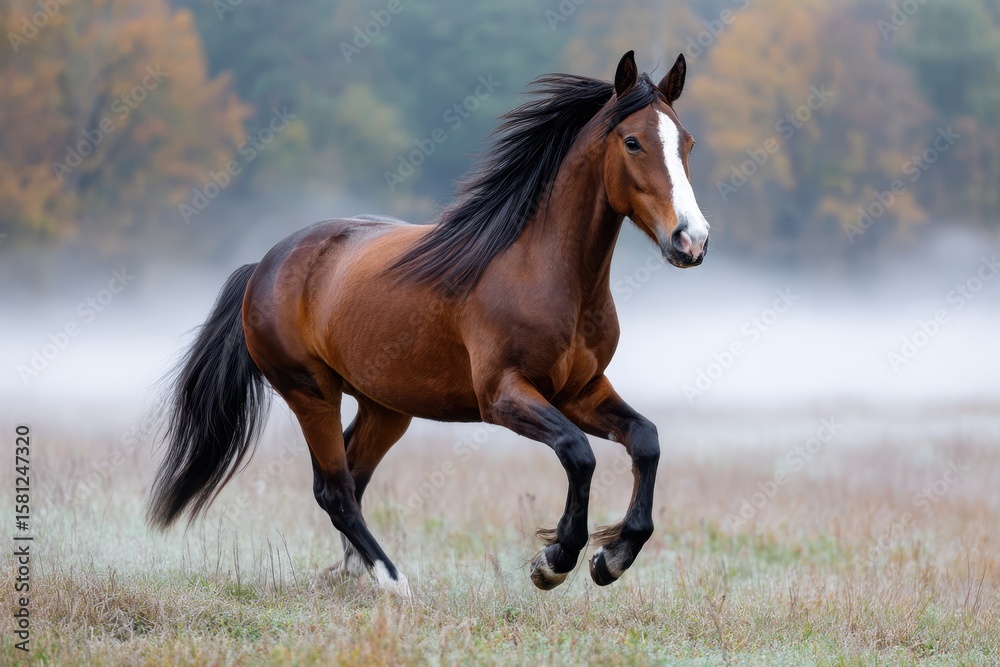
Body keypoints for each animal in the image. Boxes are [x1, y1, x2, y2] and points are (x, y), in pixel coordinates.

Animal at [148, 50, 710, 596]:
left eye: (687, 142)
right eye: (633, 141)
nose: (692, 240)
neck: (543, 270)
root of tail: (264, 264)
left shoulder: (581, 390)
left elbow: (646, 440)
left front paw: (612, 558)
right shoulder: (502, 396)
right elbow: (578, 453)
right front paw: (554, 561)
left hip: (385, 406)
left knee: (352, 474)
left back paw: (353, 572)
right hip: (310, 392)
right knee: (334, 488)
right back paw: (393, 581)